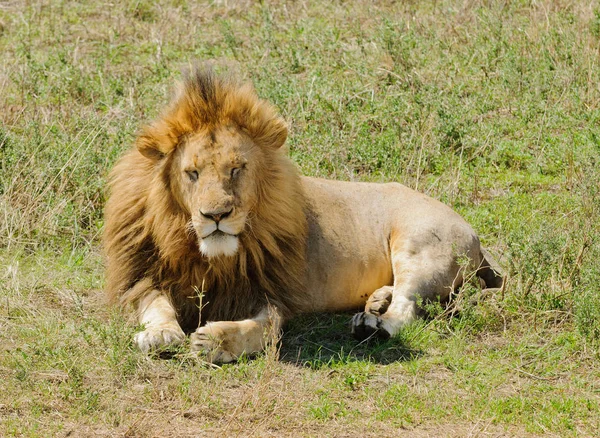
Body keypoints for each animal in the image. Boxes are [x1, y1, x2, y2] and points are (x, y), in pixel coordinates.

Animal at [103, 62, 502, 362]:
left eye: (236, 169)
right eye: (192, 173)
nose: (216, 215)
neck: (210, 257)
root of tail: (475, 235)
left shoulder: (269, 292)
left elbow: (264, 329)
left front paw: (215, 342)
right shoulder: (144, 275)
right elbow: (157, 305)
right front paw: (160, 334)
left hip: (420, 248)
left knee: (408, 309)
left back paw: (372, 325)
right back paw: (377, 302)